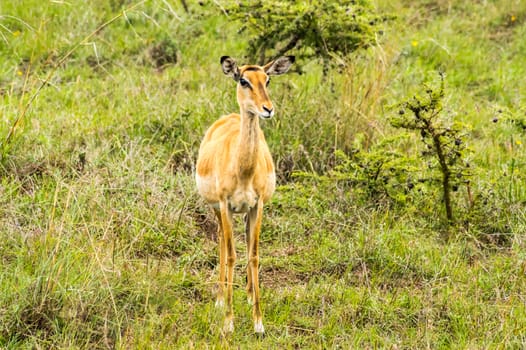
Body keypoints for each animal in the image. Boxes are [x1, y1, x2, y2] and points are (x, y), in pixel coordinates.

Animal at [197, 55, 296, 334]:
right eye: (243, 80)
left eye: (267, 80)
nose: (267, 109)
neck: (242, 169)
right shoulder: (225, 204)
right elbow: (232, 255)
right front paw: (228, 322)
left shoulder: (257, 205)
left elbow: (253, 255)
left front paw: (259, 323)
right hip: (217, 209)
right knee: (222, 240)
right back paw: (221, 298)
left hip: (243, 212)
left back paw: (250, 293)